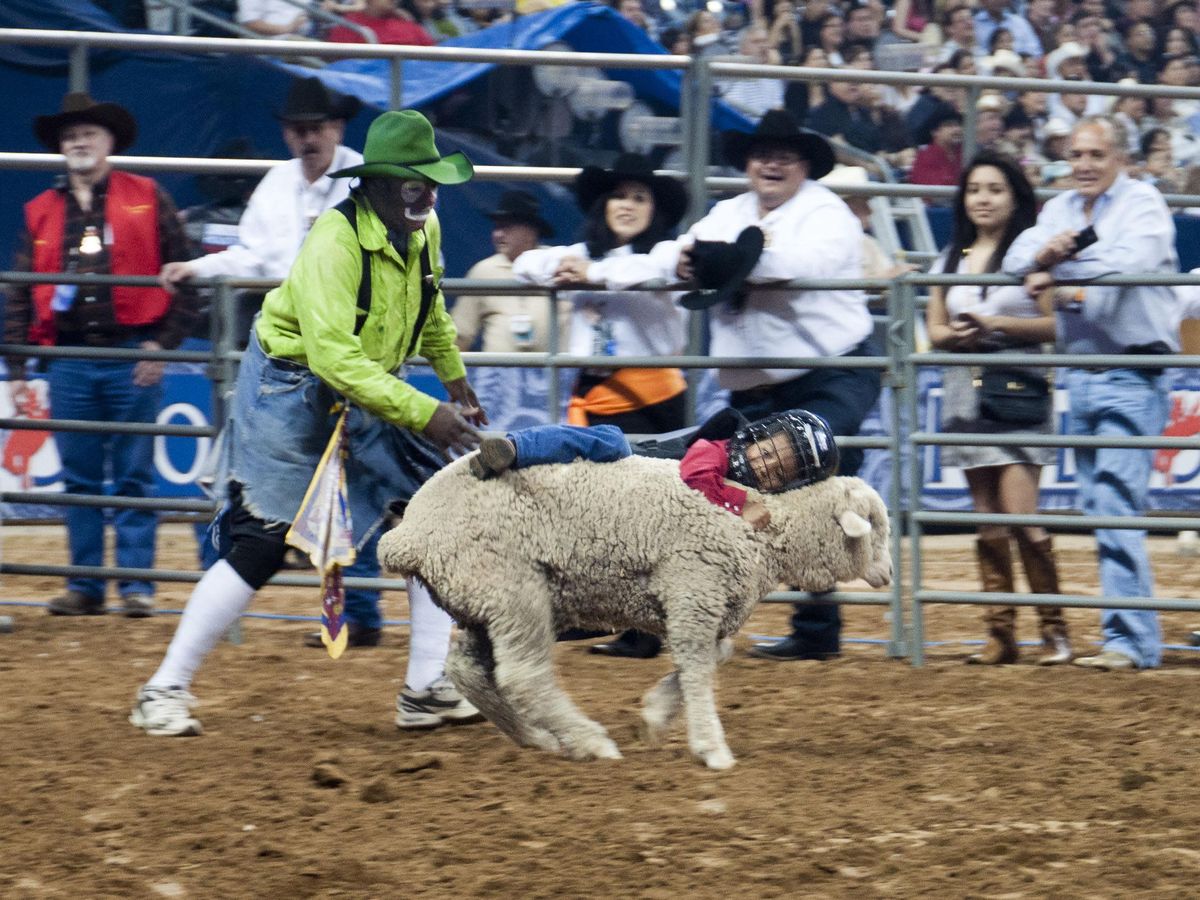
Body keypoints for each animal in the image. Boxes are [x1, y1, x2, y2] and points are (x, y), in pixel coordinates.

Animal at [376, 453, 892, 772]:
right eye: (875, 526)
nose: (889, 574)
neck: (764, 531)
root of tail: (409, 534)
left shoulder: (701, 607)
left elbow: (713, 658)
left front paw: (655, 715)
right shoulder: (693, 593)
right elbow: (699, 670)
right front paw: (711, 748)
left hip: (483, 602)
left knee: (468, 669)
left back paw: (536, 737)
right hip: (511, 590)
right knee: (523, 676)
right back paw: (589, 741)